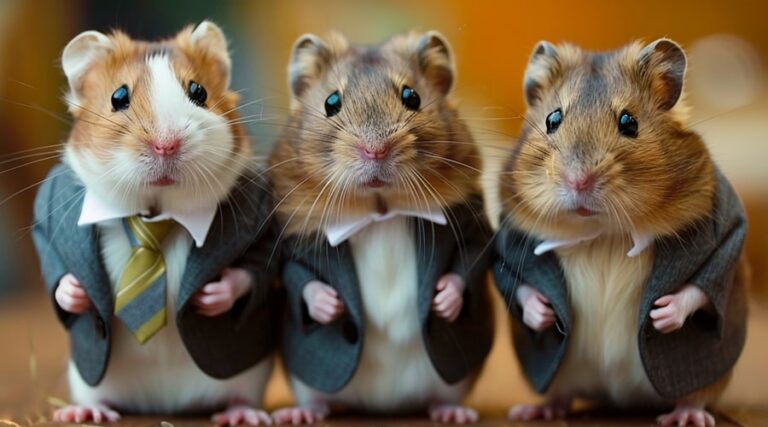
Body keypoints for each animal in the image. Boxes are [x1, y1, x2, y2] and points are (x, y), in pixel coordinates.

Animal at [32, 21, 277, 425]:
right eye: (118, 97)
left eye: (198, 92)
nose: (167, 145)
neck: (154, 213)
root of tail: (165, 406)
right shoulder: (46, 223)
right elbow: (57, 272)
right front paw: (77, 293)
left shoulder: (264, 223)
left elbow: (254, 268)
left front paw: (210, 296)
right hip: (88, 382)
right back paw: (84, 413)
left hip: (249, 377)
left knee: (240, 396)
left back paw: (243, 416)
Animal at [268, 31, 494, 424]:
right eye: (331, 102)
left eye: (411, 97)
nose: (375, 151)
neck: (380, 207)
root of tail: (381, 407)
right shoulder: (292, 240)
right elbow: (300, 275)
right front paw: (330, 305)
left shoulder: (474, 222)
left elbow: (469, 259)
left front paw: (443, 301)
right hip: (304, 380)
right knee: (316, 397)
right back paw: (299, 414)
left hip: (454, 381)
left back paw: (453, 413)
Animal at [493, 39, 747, 427]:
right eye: (553, 119)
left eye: (629, 122)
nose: (578, 181)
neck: (602, 233)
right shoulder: (509, 242)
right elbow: (519, 284)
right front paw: (544, 313)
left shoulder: (726, 231)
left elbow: (704, 282)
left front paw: (661, 314)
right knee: (561, 395)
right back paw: (533, 411)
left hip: (709, 376)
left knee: (696, 395)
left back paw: (685, 417)